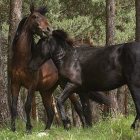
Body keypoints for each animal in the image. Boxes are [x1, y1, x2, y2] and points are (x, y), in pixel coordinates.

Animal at [9, 4, 111, 133]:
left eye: (45, 17)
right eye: (35, 16)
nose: (49, 29)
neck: (21, 59)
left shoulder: (31, 85)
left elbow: (27, 106)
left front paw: (28, 129)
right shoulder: (15, 84)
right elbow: (13, 107)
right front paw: (13, 129)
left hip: (67, 87)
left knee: (77, 107)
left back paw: (82, 127)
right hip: (46, 92)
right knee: (51, 112)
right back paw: (47, 130)